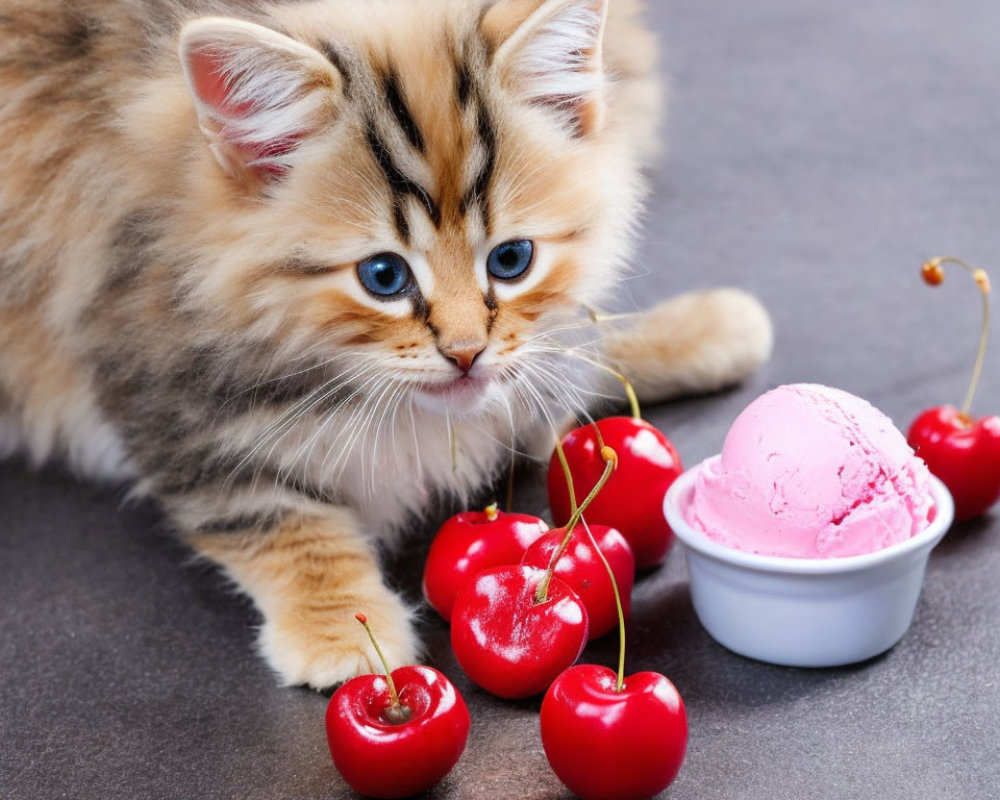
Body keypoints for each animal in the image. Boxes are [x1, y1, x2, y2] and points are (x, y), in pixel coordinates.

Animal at [0, 0, 772, 688]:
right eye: (384, 277)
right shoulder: (157, 383)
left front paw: (706, 328)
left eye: (512, 260)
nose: (465, 352)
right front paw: (341, 626)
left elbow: (566, 353)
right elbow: (276, 514)